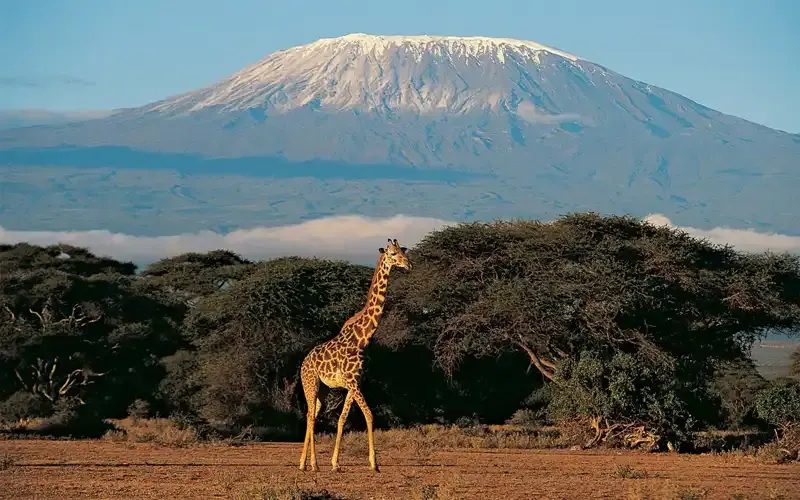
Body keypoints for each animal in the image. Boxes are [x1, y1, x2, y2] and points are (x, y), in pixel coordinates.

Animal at [298, 238, 411, 472]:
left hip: (323, 390)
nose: (408, 265)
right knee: (310, 416)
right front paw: (374, 464)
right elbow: (369, 414)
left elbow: (342, 419)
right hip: (310, 383)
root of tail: (303, 363)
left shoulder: (354, 383)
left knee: (312, 414)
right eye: (392, 253)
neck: (362, 339)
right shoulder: (352, 382)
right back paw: (313, 464)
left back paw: (304, 463)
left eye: (404, 251)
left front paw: (335, 463)